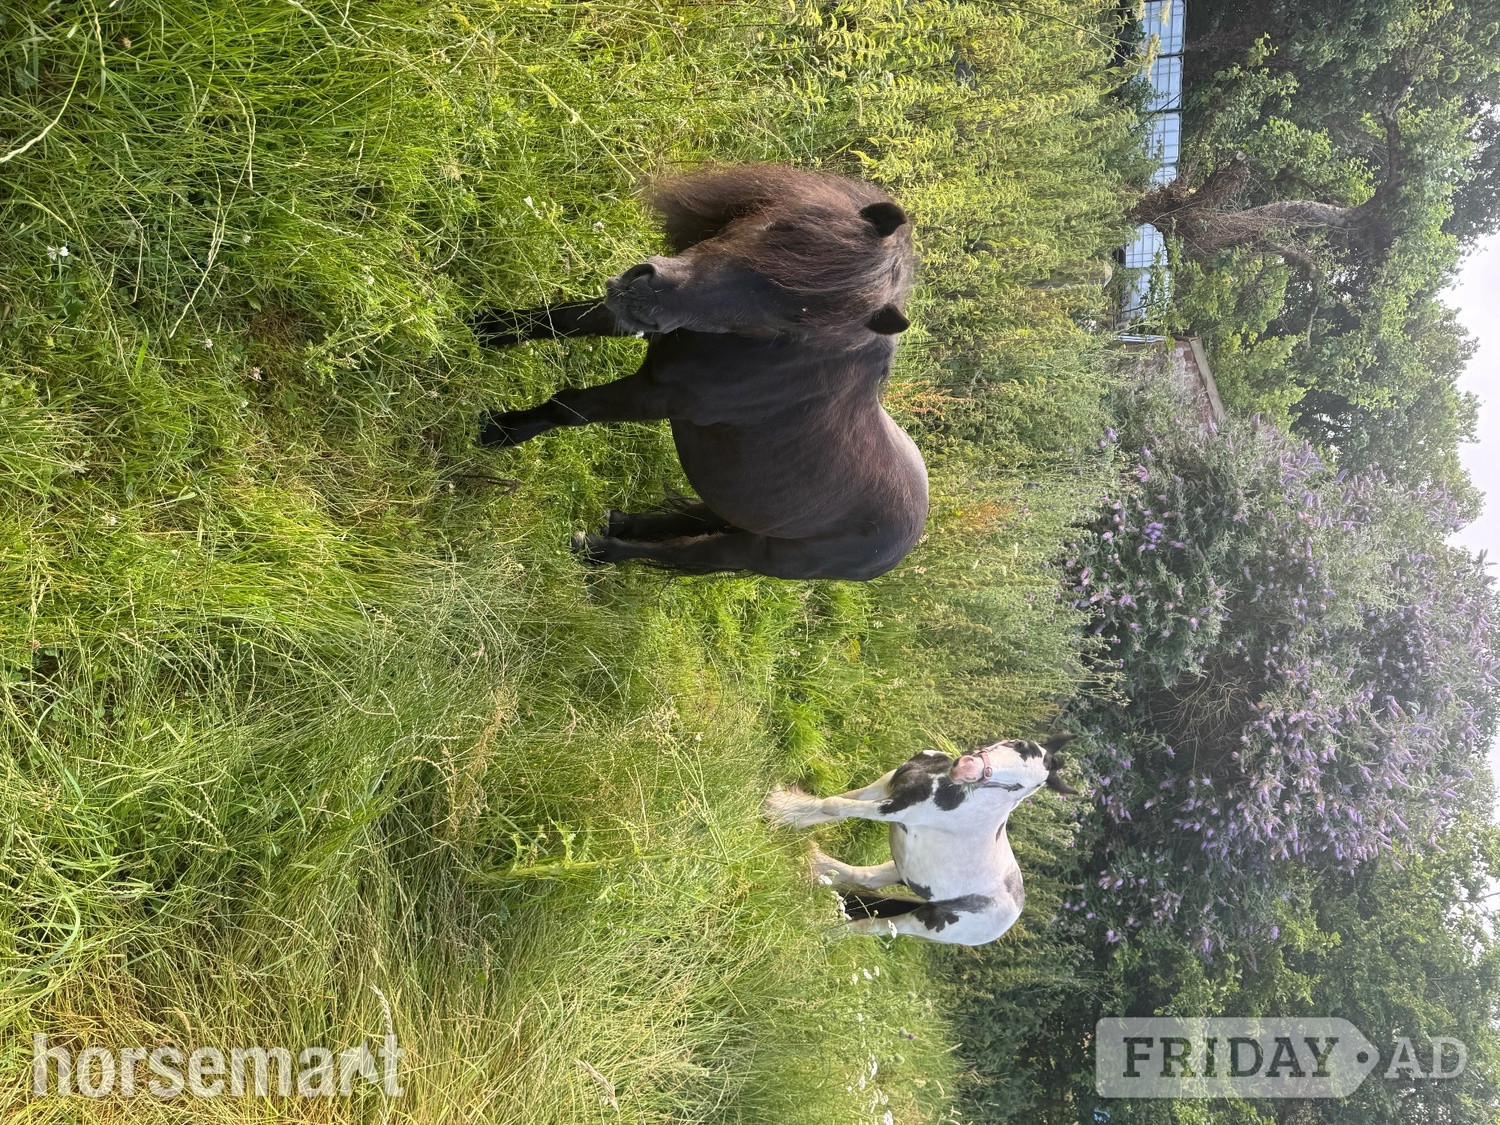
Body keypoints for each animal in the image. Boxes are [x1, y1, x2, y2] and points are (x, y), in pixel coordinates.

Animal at [471, 164, 927, 580]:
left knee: (684, 551)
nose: (648, 295)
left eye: (788, 321)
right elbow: (560, 320)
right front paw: (488, 328)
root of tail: (903, 544)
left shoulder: (654, 395)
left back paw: (599, 549)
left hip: (755, 552)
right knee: (690, 521)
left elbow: (568, 408)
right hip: (736, 508)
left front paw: (500, 431)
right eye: (784, 228)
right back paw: (622, 522)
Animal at [763, 736, 1078, 944]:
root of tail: (1013, 913)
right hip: (904, 872)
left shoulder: (893, 809)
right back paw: (815, 865)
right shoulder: (889, 783)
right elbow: (837, 801)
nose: (969, 769)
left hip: (925, 922)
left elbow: (834, 806)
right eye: (1020, 745)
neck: (948, 787)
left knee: (874, 927)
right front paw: (787, 806)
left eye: (1016, 787)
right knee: (867, 879)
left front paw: (778, 811)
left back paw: (822, 931)